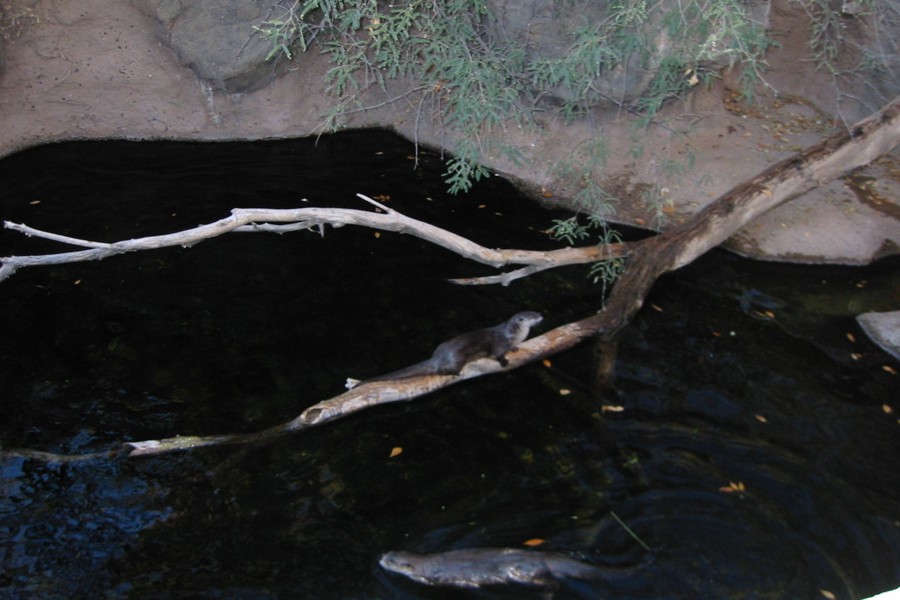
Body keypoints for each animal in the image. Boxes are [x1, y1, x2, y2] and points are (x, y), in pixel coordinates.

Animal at [367, 311, 542, 382]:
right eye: (531, 315)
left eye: (534, 311)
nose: (541, 314)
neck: (513, 335)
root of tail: (438, 356)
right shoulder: (500, 343)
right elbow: (497, 354)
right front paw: (503, 361)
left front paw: (514, 349)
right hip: (459, 357)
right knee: (441, 371)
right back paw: (454, 373)